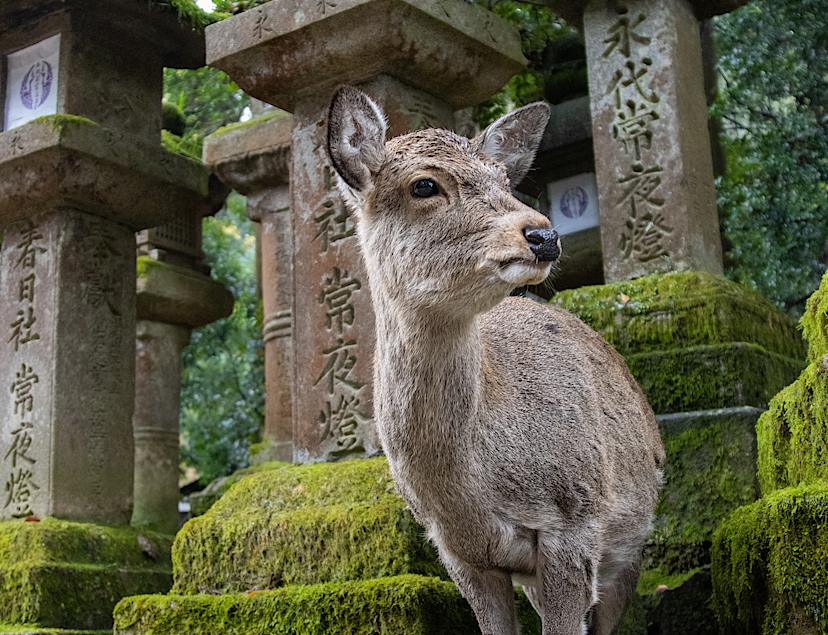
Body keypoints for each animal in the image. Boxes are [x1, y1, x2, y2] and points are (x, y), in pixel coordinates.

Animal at [326, 86, 665, 635]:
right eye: (424, 185)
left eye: (505, 179)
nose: (543, 235)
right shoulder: (459, 553)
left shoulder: (575, 519)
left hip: (629, 550)